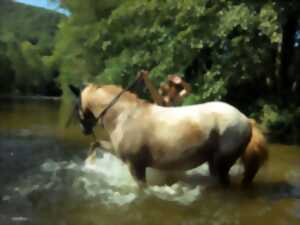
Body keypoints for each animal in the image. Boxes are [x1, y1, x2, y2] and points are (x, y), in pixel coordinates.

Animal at [69, 83, 268, 187]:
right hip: (214, 163)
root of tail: (245, 119)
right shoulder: (119, 153)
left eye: (76, 105)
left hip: (222, 163)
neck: (122, 115)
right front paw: (89, 163)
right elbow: (96, 144)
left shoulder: (135, 166)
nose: (84, 130)